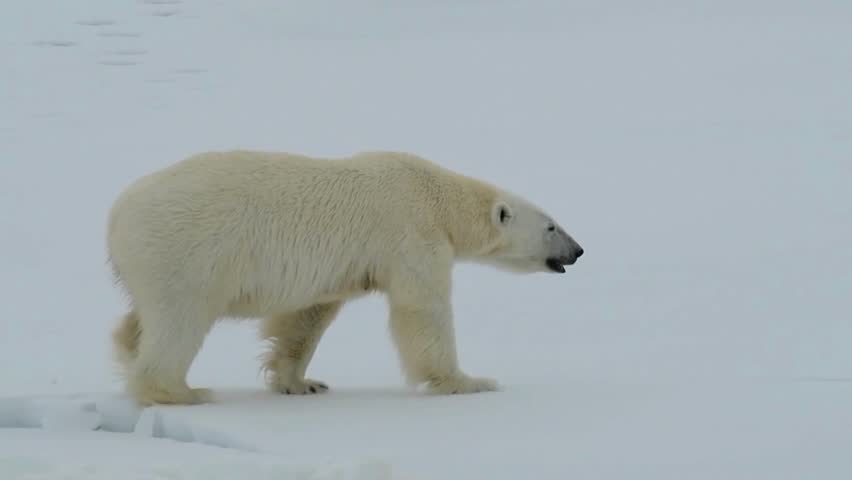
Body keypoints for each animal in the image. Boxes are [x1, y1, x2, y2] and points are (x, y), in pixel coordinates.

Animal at [107, 150, 584, 406]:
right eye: (551, 226)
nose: (578, 251)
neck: (437, 196)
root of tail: (115, 217)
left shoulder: (339, 267)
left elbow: (307, 317)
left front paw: (303, 382)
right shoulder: (411, 233)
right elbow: (422, 311)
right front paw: (470, 382)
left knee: (137, 320)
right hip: (185, 251)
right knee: (179, 320)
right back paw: (184, 391)